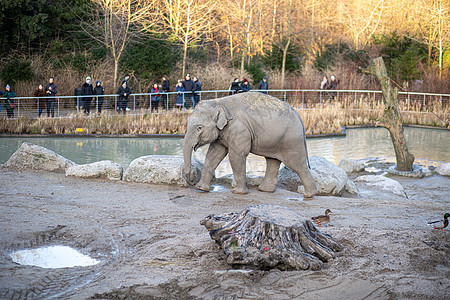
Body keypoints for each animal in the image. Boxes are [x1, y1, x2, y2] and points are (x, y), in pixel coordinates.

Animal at [181, 92, 318, 198]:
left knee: (297, 164)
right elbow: (213, 155)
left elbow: (236, 156)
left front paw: (238, 192)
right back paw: (264, 190)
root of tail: (300, 117)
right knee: (272, 160)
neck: (219, 102)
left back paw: (310, 194)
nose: (192, 182)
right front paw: (201, 189)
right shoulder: (222, 133)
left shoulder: (239, 129)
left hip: (291, 140)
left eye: (199, 128)